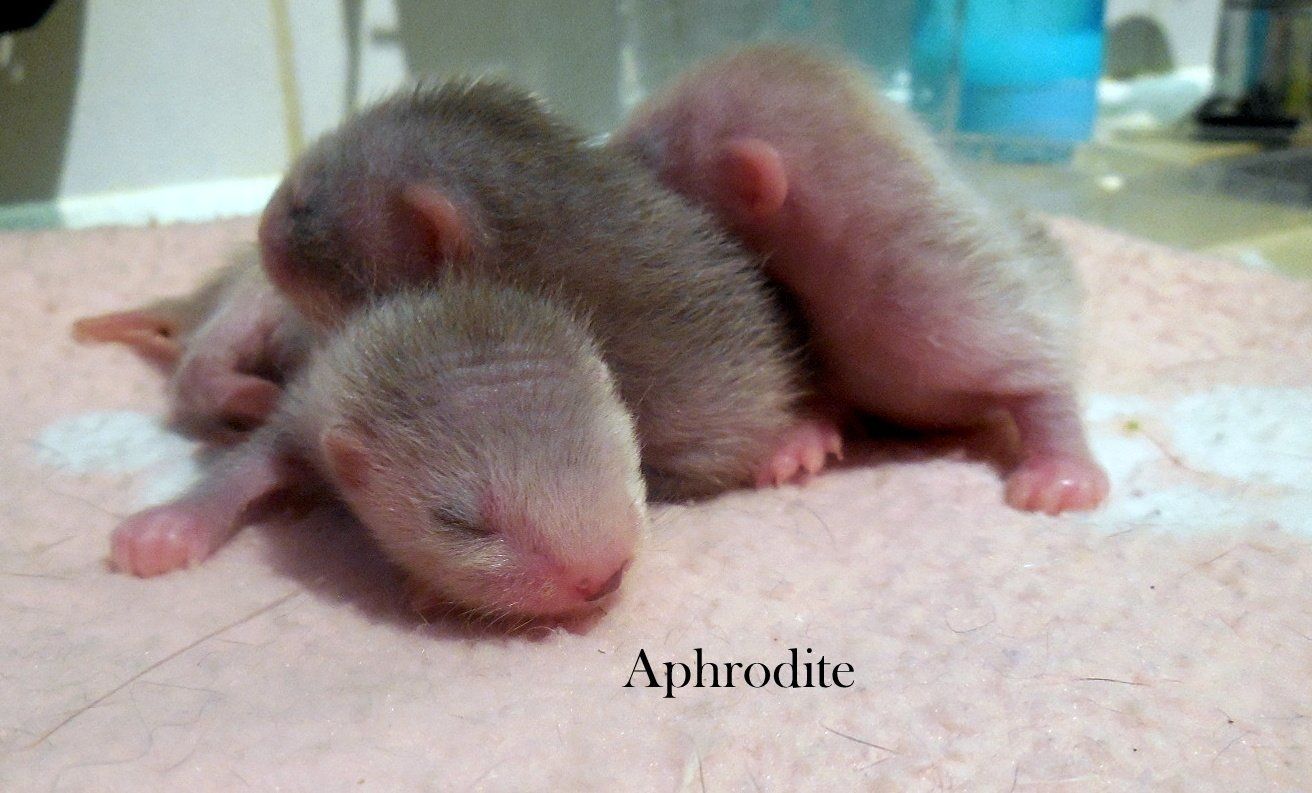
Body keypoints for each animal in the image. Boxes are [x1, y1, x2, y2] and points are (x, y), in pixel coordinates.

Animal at [110, 279, 645, 619]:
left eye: (627, 471)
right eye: (460, 524)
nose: (602, 577)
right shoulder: (310, 399)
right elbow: (250, 461)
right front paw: (166, 528)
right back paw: (240, 392)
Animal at [612, 44, 1109, 514]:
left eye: (648, 150)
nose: (606, 150)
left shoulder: (964, 301)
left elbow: (1042, 379)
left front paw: (1063, 475)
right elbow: (822, 395)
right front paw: (800, 439)